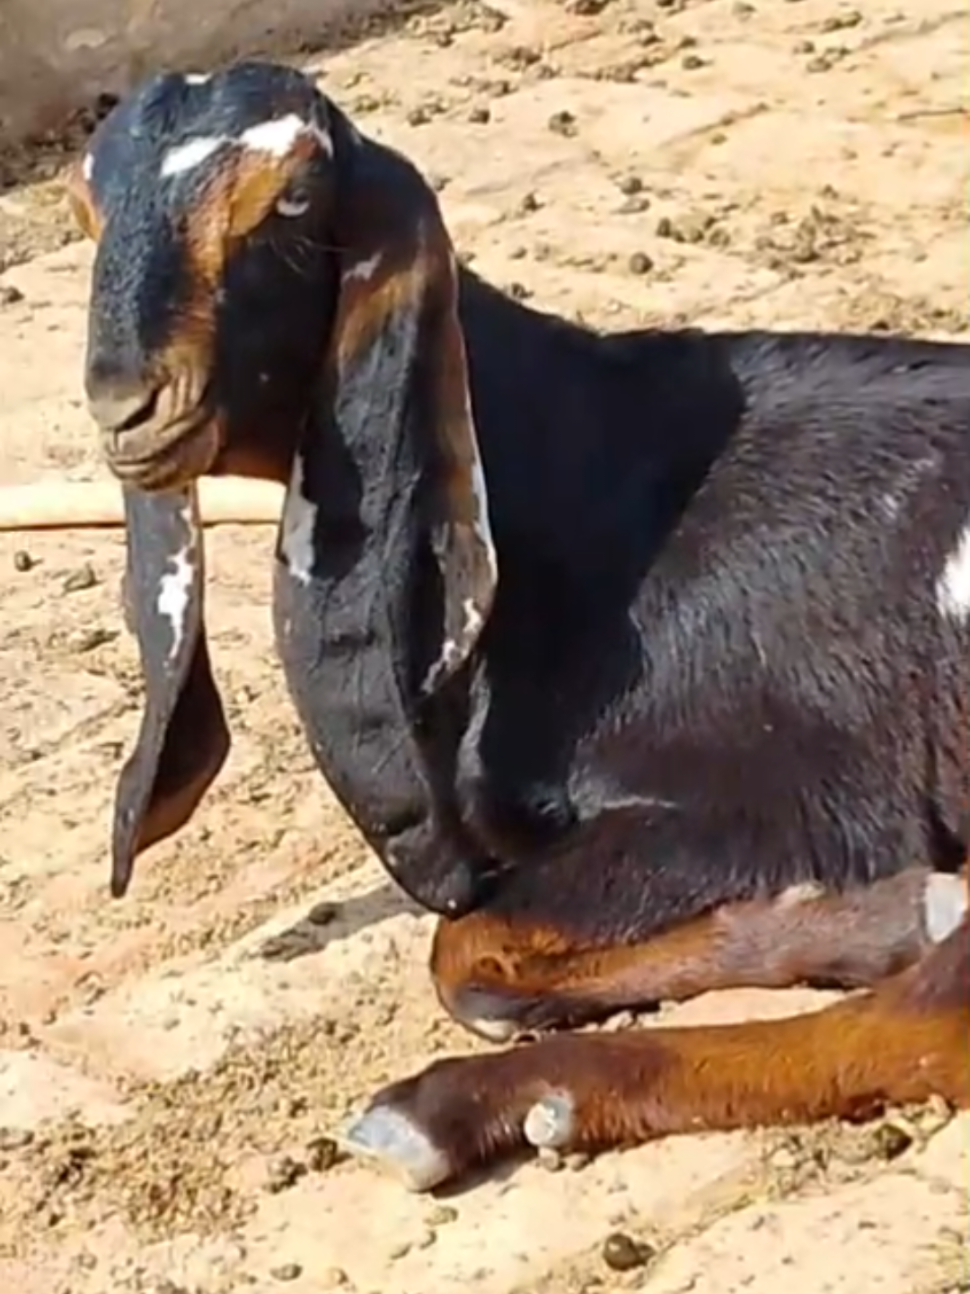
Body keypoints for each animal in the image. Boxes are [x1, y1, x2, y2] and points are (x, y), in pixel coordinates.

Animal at [69, 59, 969, 1193]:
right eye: (87, 207)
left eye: (293, 199)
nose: (126, 405)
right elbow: (482, 962)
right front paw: (876, 915)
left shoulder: (782, 798)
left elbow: (458, 945)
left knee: (921, 1028)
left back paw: (457, 1105)